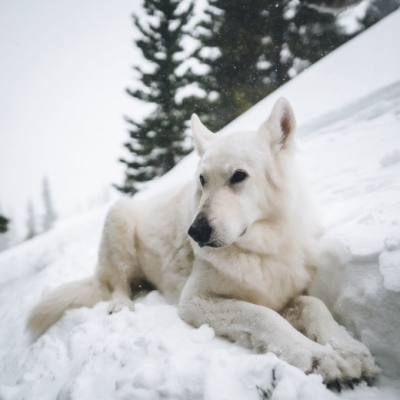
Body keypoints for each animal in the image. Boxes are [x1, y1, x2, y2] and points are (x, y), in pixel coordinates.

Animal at [28, 97, 378, 388]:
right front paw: (317, 356)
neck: (260, 249)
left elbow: (314, 305)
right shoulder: (195, 300)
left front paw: (348, 349)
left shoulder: (284, 292)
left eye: (239, 176)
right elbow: (263, 316)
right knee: (117, 283)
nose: (195, 232)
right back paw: (121, 304)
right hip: (119, 217)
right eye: (202, 180)